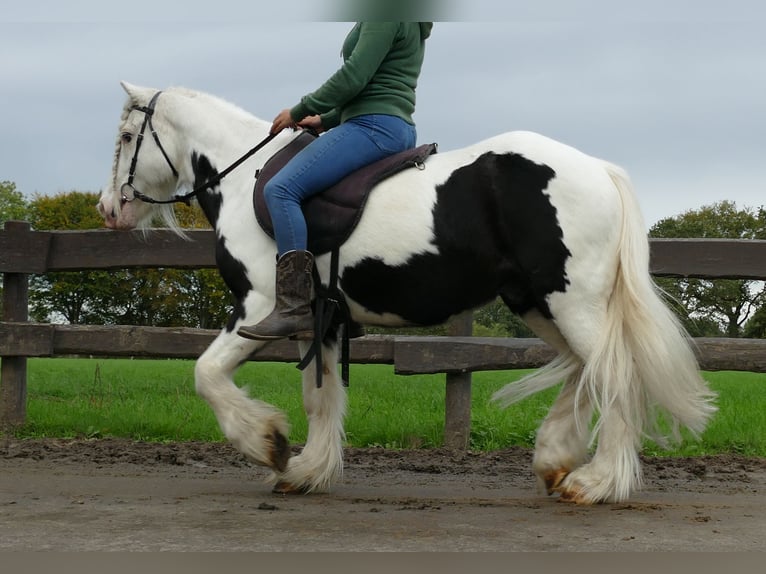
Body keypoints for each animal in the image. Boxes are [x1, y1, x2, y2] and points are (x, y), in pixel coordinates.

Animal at [97, 81, 720, 504]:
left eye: (127, 137)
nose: (108, 210)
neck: (246, 180)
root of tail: (598, 168)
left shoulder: (259, 308)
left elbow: (206, 374)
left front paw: (268, 443)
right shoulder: (319, 321)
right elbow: (319, 398)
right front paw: (306, 470)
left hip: (572, 303)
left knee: (613, 374)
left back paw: (596, 483)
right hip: (538, 304)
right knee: (583, 370)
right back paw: (555, 459)